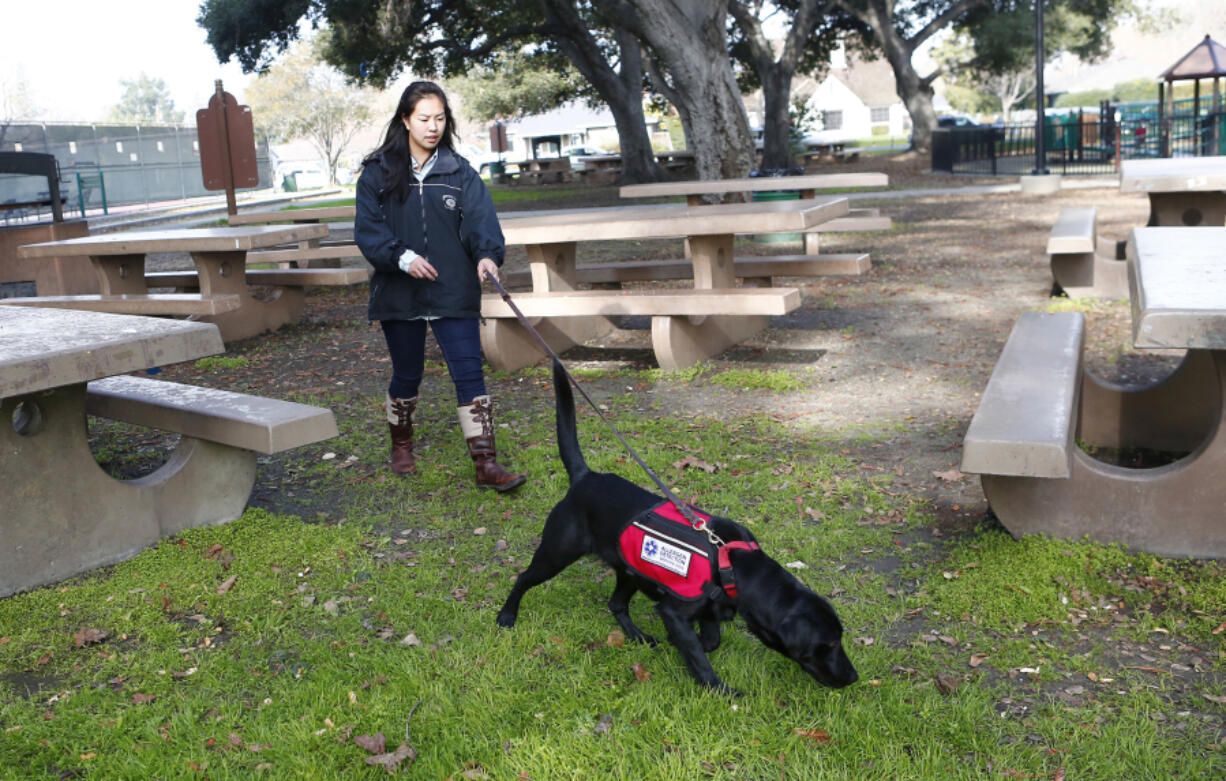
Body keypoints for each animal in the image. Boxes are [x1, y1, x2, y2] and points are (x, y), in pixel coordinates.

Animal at [492, 362, 858, 691]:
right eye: (828, 645)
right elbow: (698, 654)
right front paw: (719, 689)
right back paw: (507, 616)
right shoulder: (674, 611)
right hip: (557, 552)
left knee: (616, 604)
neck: (732, 566)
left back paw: (638, 637)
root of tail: (585, 476)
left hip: (630, 570)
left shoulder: (710, 609)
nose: (854, 677)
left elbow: (709, 641)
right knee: (523, 577)